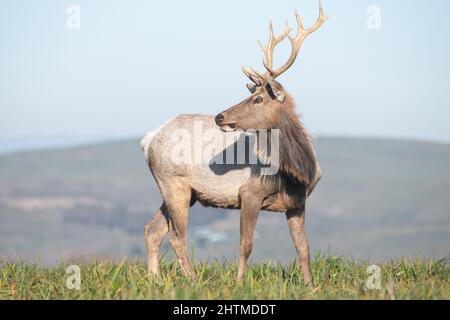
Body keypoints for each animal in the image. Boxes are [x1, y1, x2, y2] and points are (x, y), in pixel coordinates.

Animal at [142, 1, 326, 284]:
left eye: (259, 99)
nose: (220, 116)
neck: (295, 173)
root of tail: (148, 139)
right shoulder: (249, 193)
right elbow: (246, 244)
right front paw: (239, 283)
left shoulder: (298, 202)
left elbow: (303, 248)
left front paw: (310, 285)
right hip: (173, 183)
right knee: (176, 235)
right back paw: (193, 280)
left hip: (180, 191)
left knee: (152, 229)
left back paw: (156, 280)